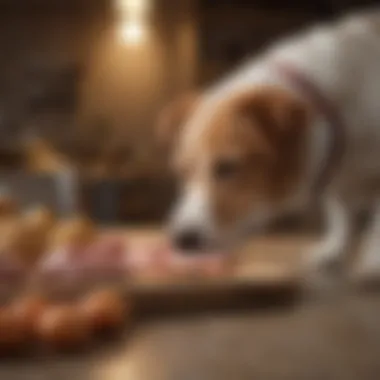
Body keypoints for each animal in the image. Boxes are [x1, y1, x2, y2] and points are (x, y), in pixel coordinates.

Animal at [157, 8, 380, 276]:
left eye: (227, 167)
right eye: (183, 171)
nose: (181, 241)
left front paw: (373, 259)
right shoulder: (335, 174)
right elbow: (340, 214)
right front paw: (333, 251)